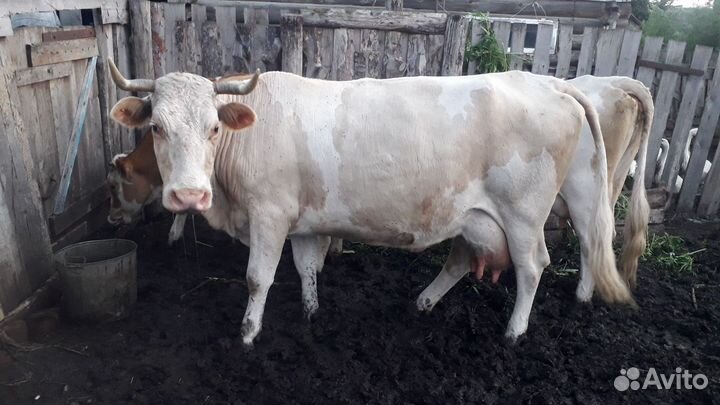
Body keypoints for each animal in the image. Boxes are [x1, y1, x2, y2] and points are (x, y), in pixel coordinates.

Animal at [107, 59, 633, 345]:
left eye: (214, 127)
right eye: (157, 127)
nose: (188, 194)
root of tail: (549, 82)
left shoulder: (269, 215)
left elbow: (258, 278)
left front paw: (249, 332)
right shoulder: (303, 221)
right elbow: (306, 268)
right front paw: (311, 312)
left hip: (525, 216)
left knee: (536, 265)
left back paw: (515, 330)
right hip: (476, 216)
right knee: (464, 258)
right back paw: (424, 302)